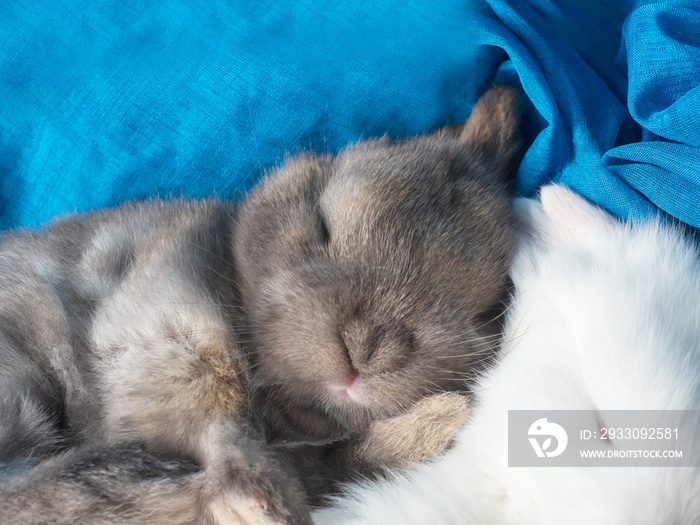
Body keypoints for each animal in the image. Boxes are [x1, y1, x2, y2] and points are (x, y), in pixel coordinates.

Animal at [0, 84, 520, 520]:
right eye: (321, 224)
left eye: (485, 310)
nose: (368, 350)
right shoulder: (165, 332)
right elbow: (225, 418)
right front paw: (260, 504)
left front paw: (436, 421)